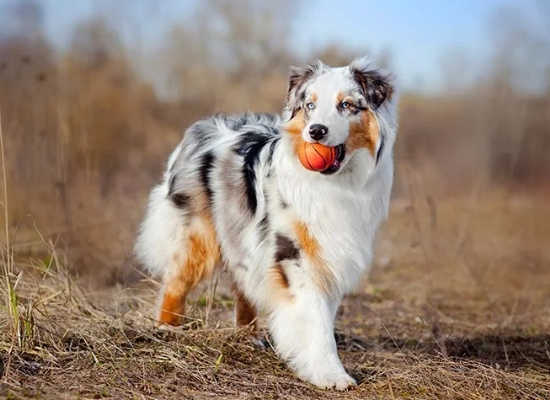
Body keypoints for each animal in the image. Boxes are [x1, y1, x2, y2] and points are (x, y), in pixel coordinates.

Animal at [135, 57, 398, 390]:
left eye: (347, 105)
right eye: (310, 105)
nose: (316, 131)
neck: (336, 183)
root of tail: (200, 127)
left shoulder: (330, 255)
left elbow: (322, 315)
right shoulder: (294, 255)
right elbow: (315, 320)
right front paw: (330, 374)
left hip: (242, 237)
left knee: (242, 285)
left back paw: (248, 337)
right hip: (198, 235)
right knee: (176, 282)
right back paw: (167, 328)